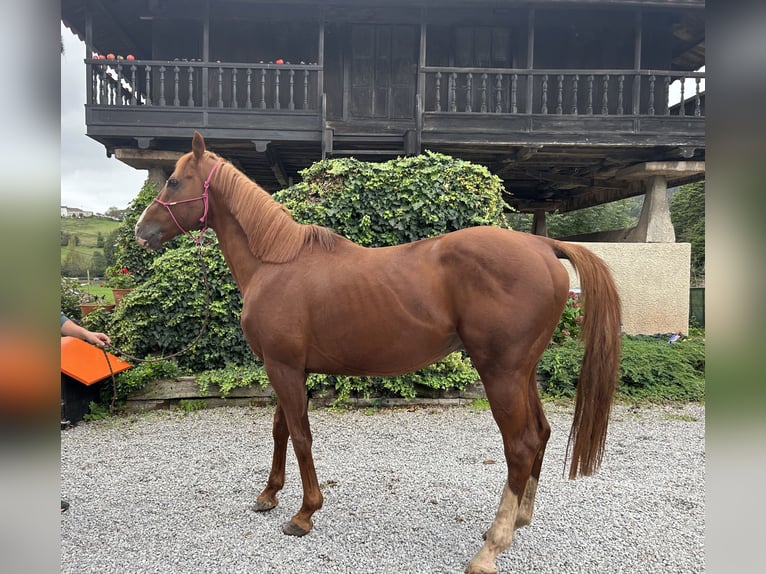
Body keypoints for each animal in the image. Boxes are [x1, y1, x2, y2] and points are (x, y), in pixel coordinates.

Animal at [135, 133, 620, 572]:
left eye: (174, 181)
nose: (142, 231)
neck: (276, 263)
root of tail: (541, 246)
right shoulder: (287, 368)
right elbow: (281, 431)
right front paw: (269, 494)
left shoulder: (284, 368)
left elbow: (301, 436)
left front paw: (304, 513)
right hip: (523, 373)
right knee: (541, 434)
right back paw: (517, 522)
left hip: (501, 374)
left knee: (520, 446)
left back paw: (490, 549)